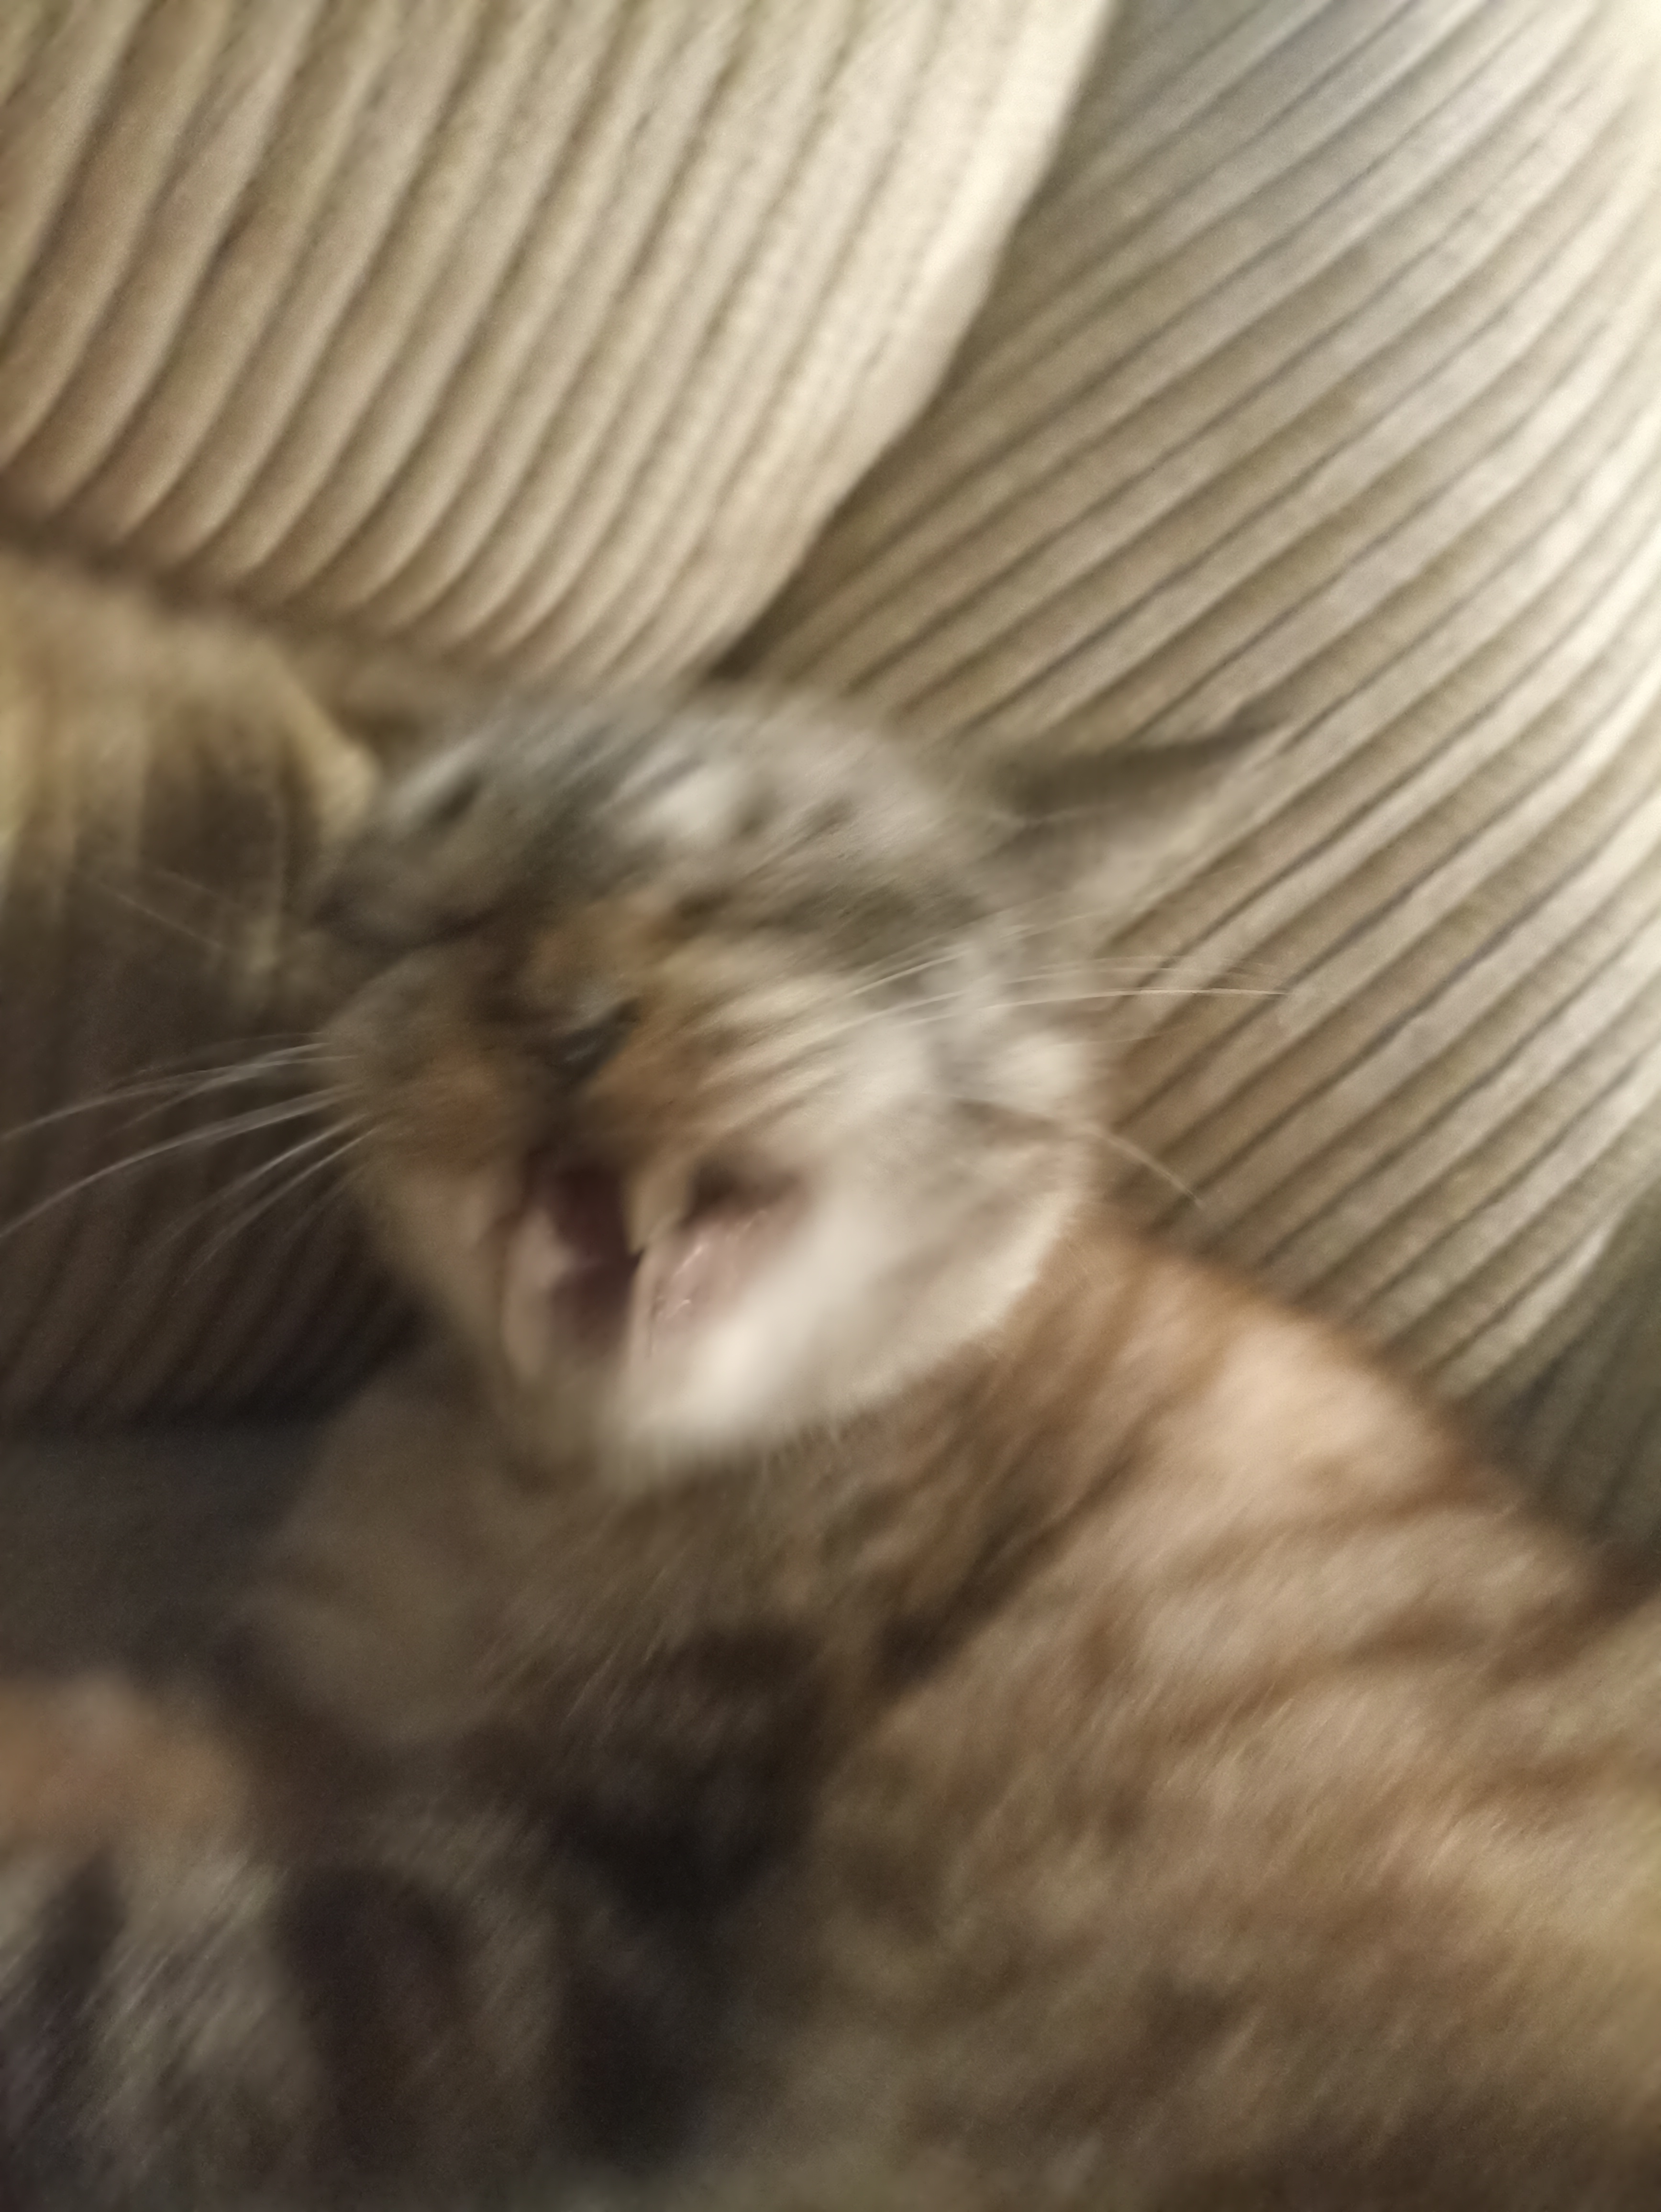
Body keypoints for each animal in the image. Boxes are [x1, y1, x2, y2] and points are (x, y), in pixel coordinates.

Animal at [4, 693, 1661, 2209]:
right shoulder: (294, 1708)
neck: (535, 1490)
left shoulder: (575, 1908)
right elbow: (107, 1744)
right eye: (437, 919)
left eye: (749, 897)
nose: (563, 1018)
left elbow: (89, 1980)